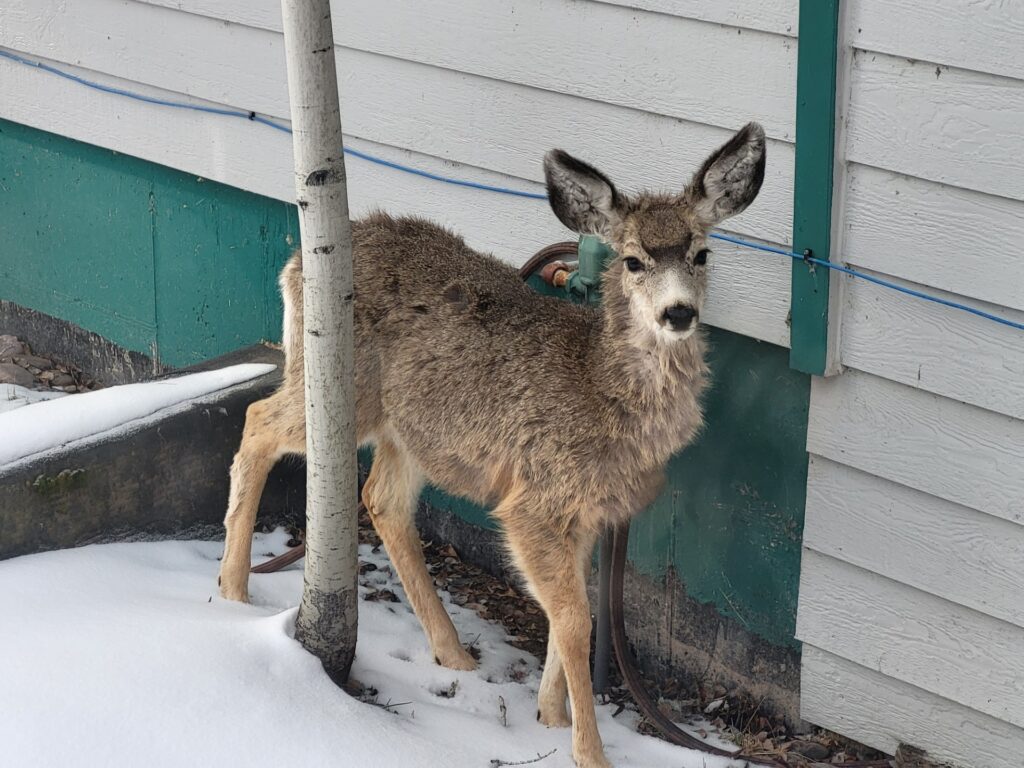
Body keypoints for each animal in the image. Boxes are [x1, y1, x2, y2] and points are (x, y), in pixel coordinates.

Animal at [218, 122, 766, 768]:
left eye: (702, 254)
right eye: (633, 261)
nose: (678, 313)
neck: (601, 389)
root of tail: (297, 261)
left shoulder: (588, 511)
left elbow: (571, 611)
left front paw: (550, 715)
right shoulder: (535, 500)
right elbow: (575, 620)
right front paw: (589, 751)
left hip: (412, 429)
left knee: (381, 498)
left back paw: (453, 653)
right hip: (336, 388)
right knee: (257, 419)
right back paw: (232, 591)